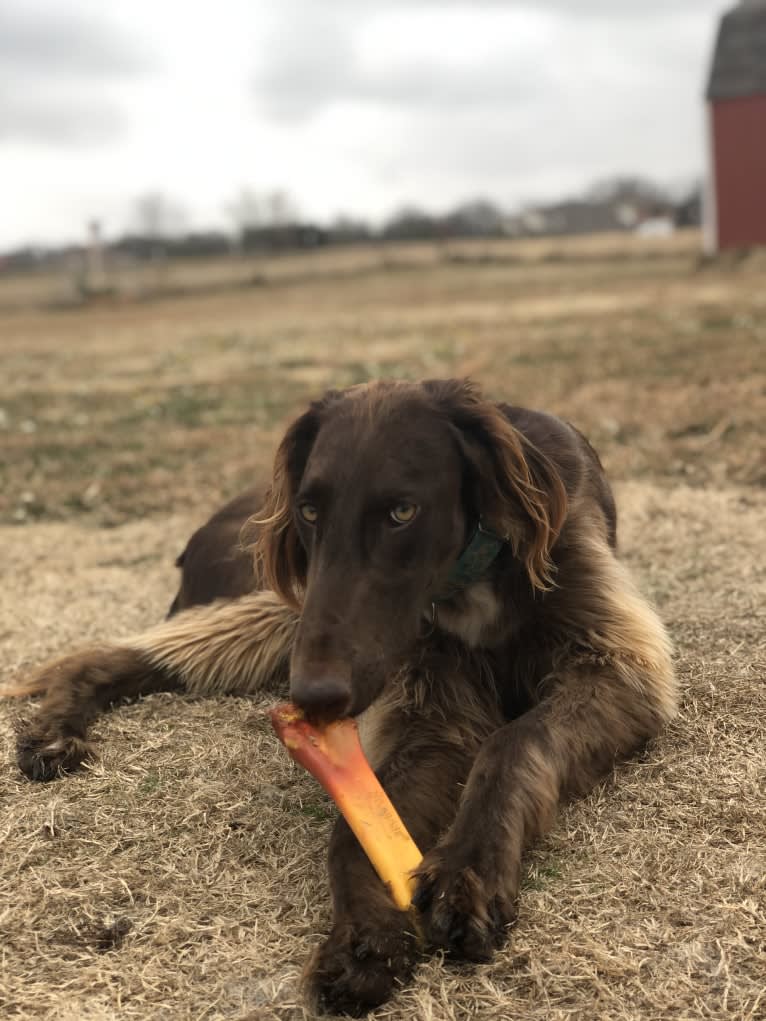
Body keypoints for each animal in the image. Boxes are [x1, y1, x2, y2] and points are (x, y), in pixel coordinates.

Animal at [9, 381, 674, 1012]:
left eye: (402, 511)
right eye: (309, 510)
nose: (315, 699)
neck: (474, 574)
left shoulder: (616, 667)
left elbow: (515, 742)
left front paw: (469, 871)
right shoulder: (425, 707)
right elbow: (355, 829)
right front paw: (363, 935)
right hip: (282, 603)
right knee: (130, 650)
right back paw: (55, 728)